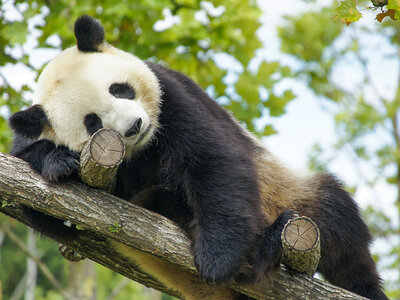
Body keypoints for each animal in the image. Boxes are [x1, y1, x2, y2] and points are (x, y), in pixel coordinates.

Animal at [8, 15, 388, 298]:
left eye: (120, 89)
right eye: (92, 122)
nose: (134, 126)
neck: (144, 149)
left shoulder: (172, 96)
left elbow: (212, 161)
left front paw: (217, 259)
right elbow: (48, 216)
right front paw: (57, 162)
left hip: (292, 194)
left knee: (339, 228)